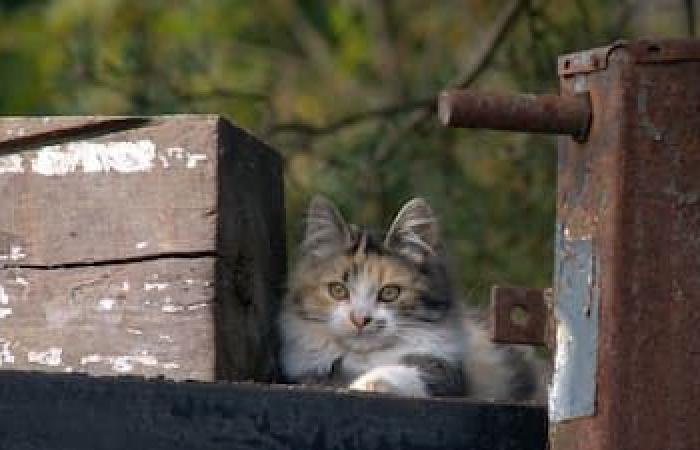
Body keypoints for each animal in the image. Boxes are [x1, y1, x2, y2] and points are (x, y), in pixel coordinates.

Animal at [278, 195, 540, 400]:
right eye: (338, 290)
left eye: (389, 293)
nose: (360, 319)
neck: (365, 358)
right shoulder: (306, 371)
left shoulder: (445, 370)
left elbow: (405, 371)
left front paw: (366, 384)